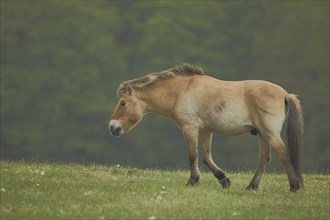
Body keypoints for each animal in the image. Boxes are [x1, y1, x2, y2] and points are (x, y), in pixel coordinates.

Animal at [109, 63, 304, 191]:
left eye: (123, 103)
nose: (112, 127)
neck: (181, 91)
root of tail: (285, 94)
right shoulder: (205, 131)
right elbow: (205, 157)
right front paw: (224, 180)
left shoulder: (190, 128)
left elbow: (193, 155)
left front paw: (192, 181)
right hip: (263, 134)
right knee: (264, 159)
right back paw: (252, 186)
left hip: (270, 133)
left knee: (283, 153)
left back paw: (294, 186)